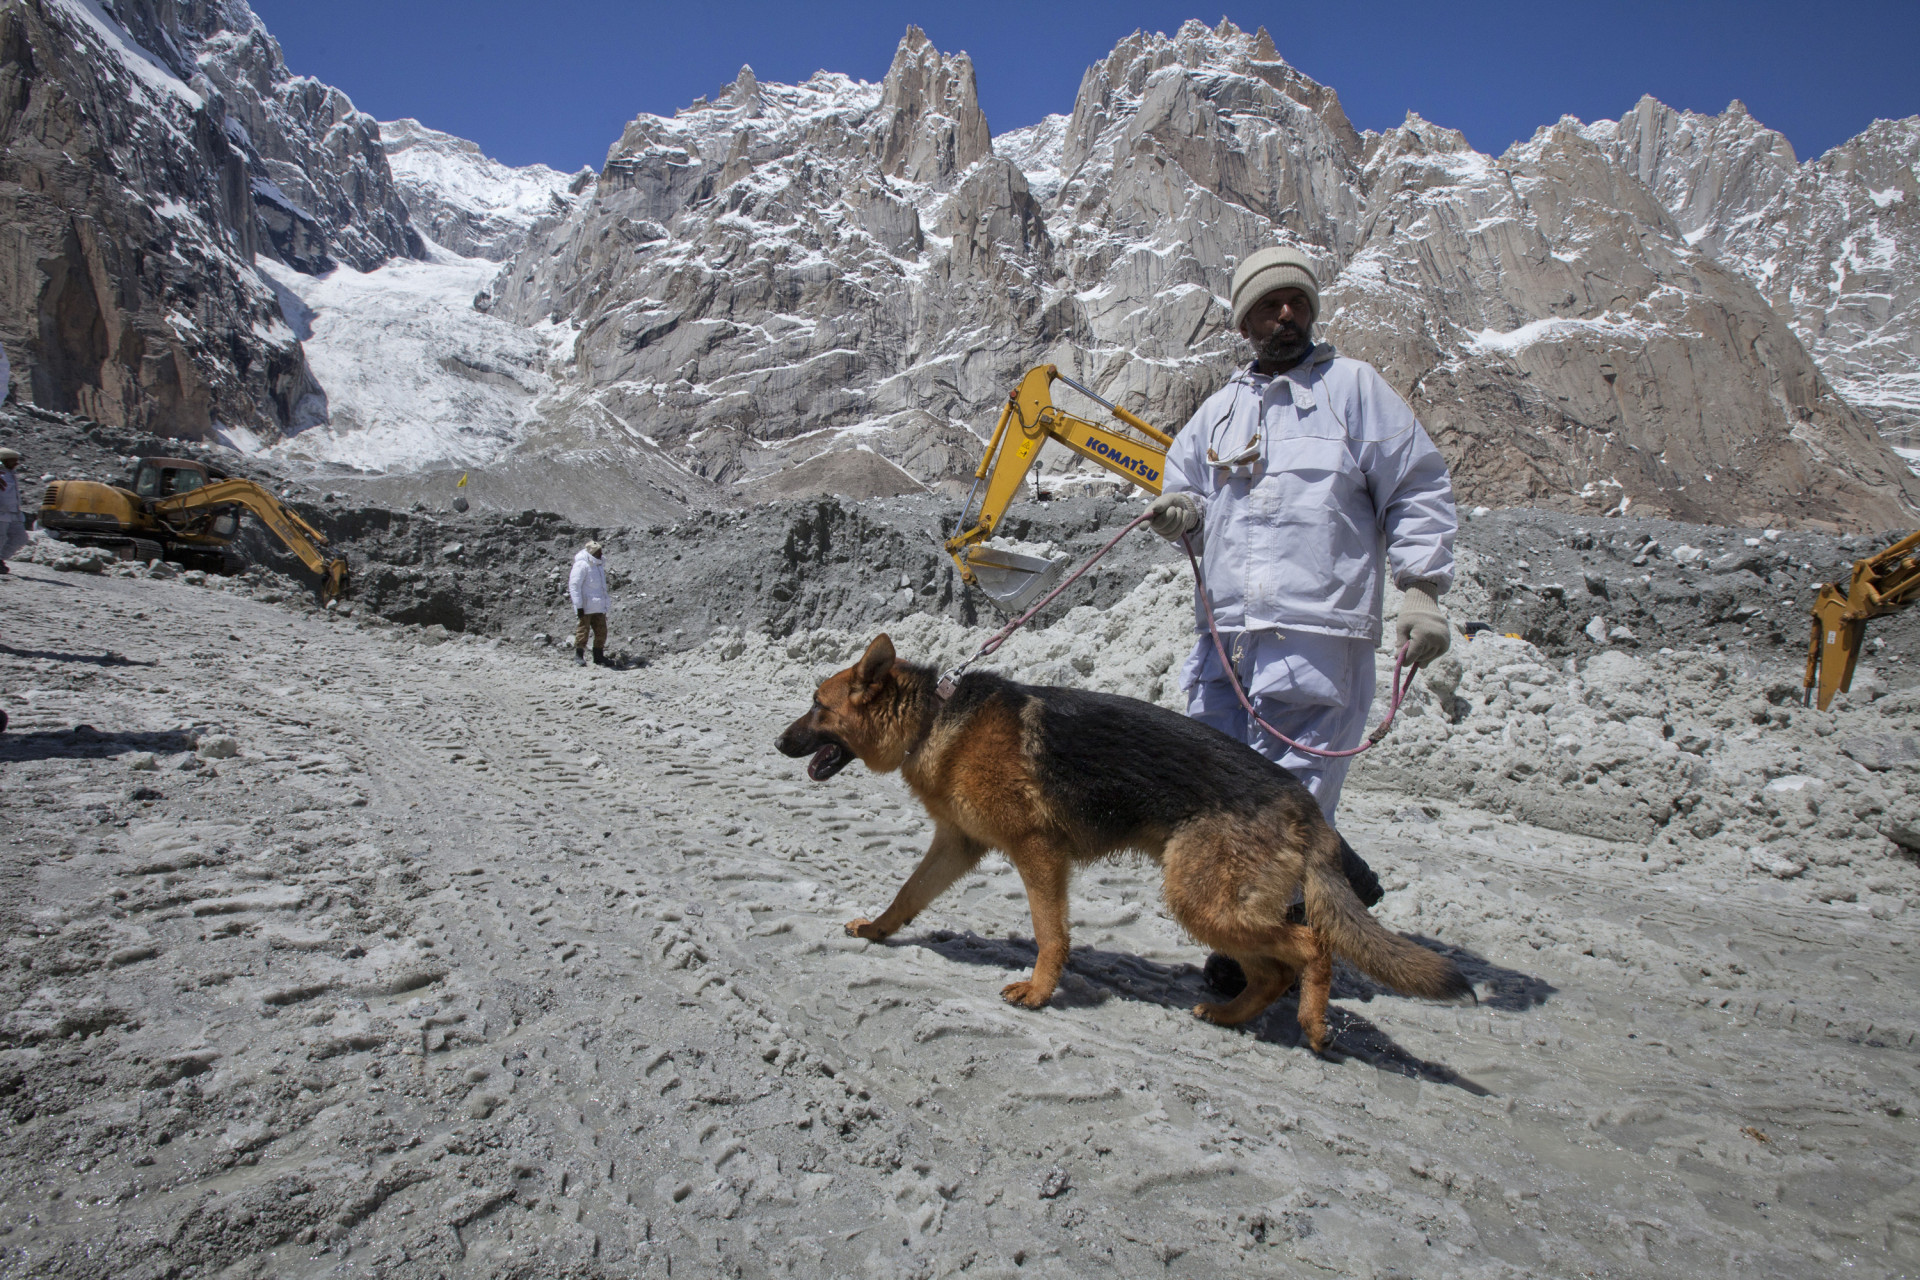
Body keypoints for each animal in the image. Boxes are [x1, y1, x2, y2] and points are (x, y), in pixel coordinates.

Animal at [779, 637, 1466, 1051]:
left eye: (816, 705)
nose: (779, 742)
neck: (931, 720)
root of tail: (1303, 802)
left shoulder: (1038, 852)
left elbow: (1050, 933)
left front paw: (1039, 992)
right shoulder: (957, 846)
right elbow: (907, 895)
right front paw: (877, 931)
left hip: (1203, 901)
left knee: (1312, 946)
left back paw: (1313, 1024)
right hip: (1215, 904)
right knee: (1273, 969)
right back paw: (1231, 1015)